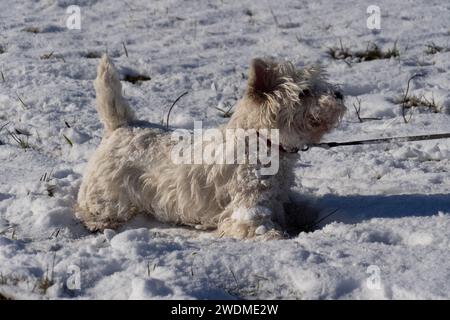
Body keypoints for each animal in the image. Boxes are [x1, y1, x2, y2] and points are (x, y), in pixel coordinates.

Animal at [76, 56, 344, 239]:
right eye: (304, 92)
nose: (339, 94)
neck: (261, 141)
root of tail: (122, 126)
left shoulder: (278, 198)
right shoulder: (247, 210)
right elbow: (261, 229)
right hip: (108, 193)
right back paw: (101, 223)